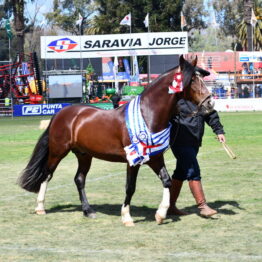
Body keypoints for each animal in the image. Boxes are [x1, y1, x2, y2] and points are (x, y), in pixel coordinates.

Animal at [17, 56, 213, 226]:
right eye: (192, 80)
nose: (209, 103)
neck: (147, 115)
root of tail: (61, 113)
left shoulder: (155, 158)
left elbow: (167, 181)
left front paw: (160, 214)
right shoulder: (133, 160)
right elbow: (130, 187)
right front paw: (127, 217)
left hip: (84, 155)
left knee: (79, 179)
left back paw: (88, 211)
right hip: (58, 152)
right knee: (47, 174)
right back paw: (40, 207)